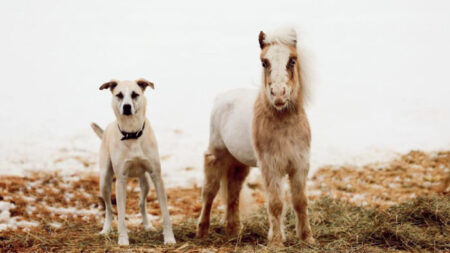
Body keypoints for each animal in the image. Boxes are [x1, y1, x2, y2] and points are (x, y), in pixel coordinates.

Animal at [91, 78, 176, 245]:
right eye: (119, 95)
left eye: (135, 94)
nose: (127, 107)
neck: (132, 134)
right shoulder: (121, 179)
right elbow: (121, 214)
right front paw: (123, 240)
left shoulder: (157, 176)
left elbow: (165, 214)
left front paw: (169, 238)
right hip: (105, 180)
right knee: (109, 208)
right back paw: (106, 229)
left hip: (146, 182)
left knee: (141, 203)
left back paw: (148, 226)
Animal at [197, 27, 312, 245]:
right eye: (264, 62)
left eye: (292, 60)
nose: (279, 94)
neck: (284, 126)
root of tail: (221, 97)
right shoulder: (271, 166)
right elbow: (276, 204)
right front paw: (276, 242)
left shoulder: (300, 164)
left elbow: (300, 201)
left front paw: (307, 239)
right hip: (216, 155)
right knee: (210, 191)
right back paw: (202, 232)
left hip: (238, 163)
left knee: (233, 191)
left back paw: (234, 231)